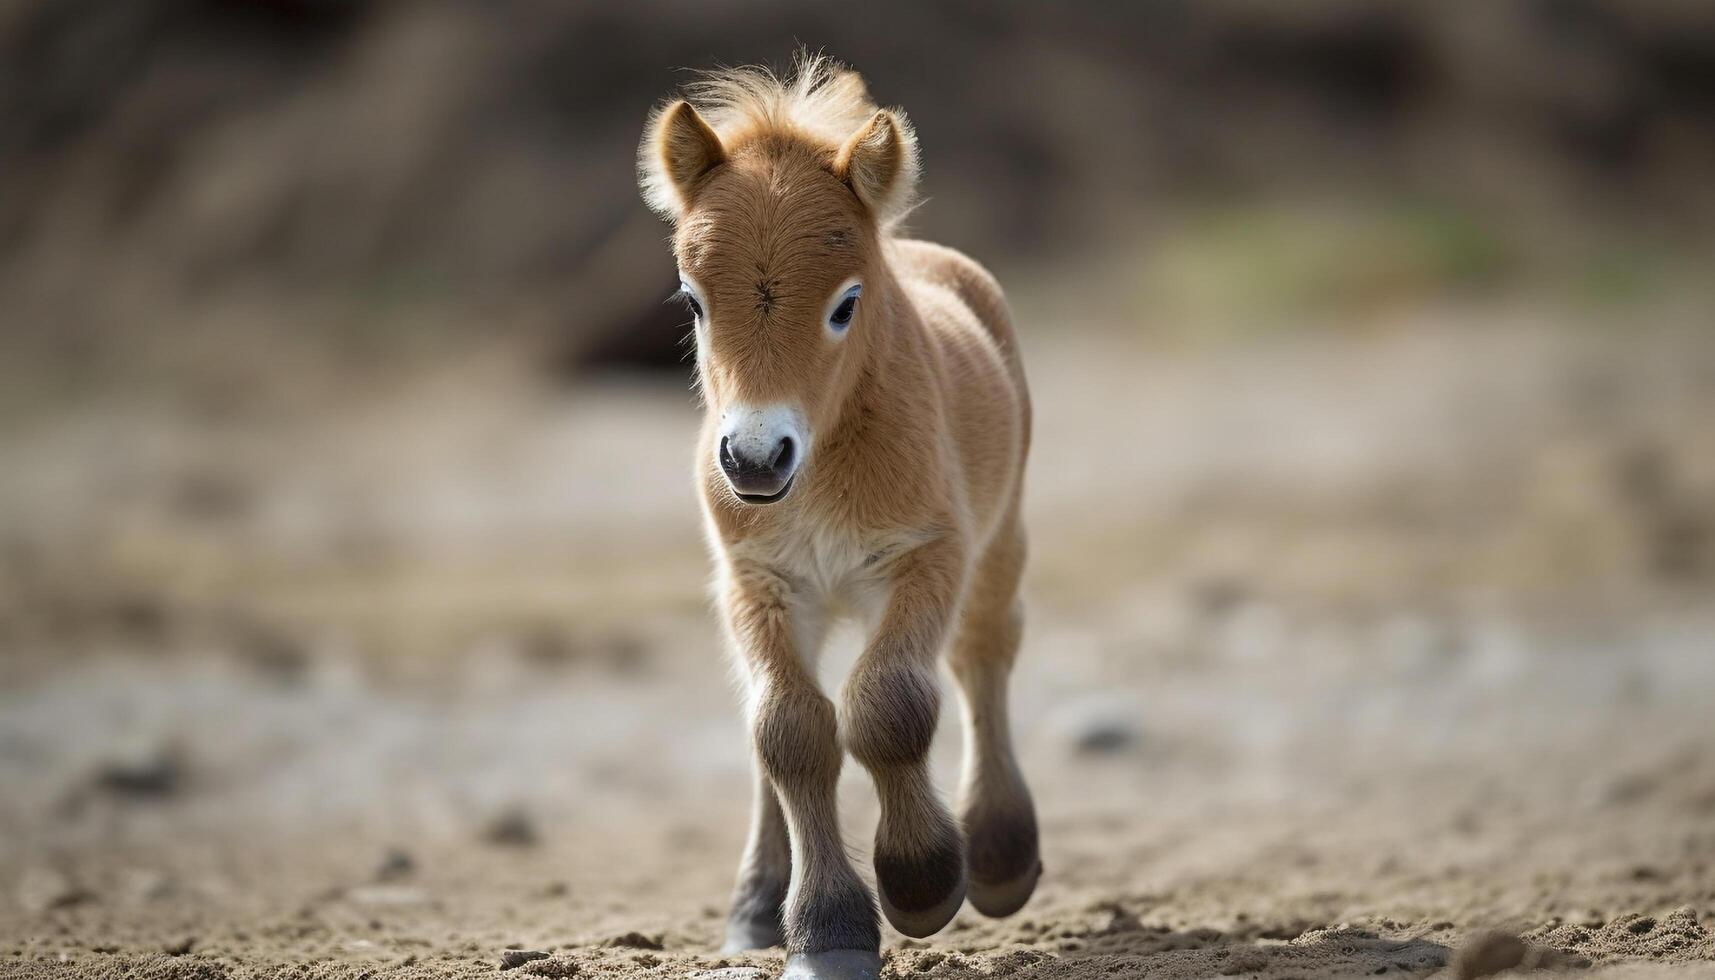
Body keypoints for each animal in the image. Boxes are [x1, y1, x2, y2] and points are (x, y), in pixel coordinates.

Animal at [634, 61, 1022, 980]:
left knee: (983, 653)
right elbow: (788, 731)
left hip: (999, 541)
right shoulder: (758, 581)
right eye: (693, 301)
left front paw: (920, 881)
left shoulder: (926, 555)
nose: (754, 458)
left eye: (845, 304)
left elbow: (889, 706)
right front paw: (826, 931)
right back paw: (756, 907)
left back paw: (1000, 857)